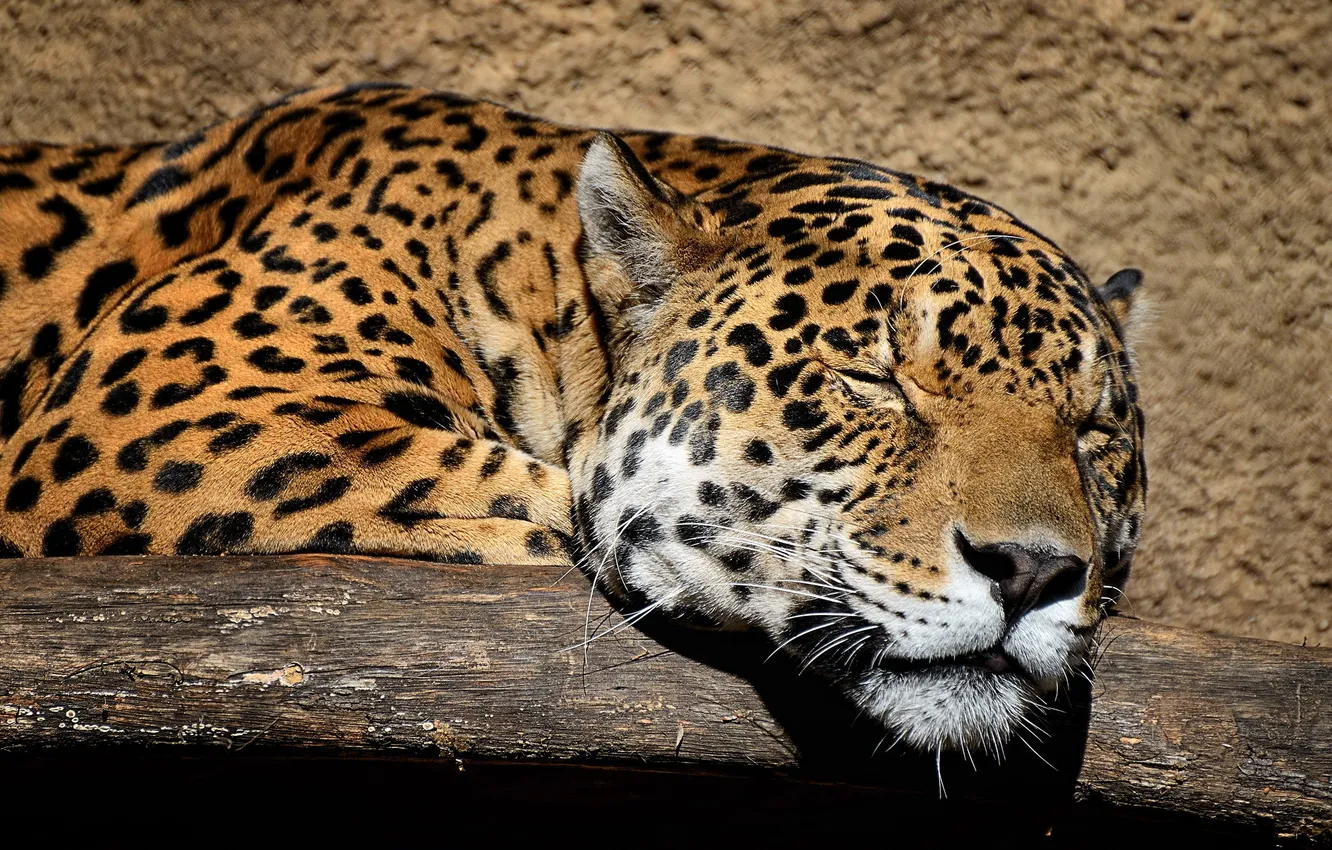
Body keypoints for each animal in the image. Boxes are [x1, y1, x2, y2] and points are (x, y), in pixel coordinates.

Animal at [0, 82, 1145, 756]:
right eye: (871, 377)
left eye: (1094, 433)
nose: (1034, 573)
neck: (533, 276)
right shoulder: (180, 418)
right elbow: (550, 515)